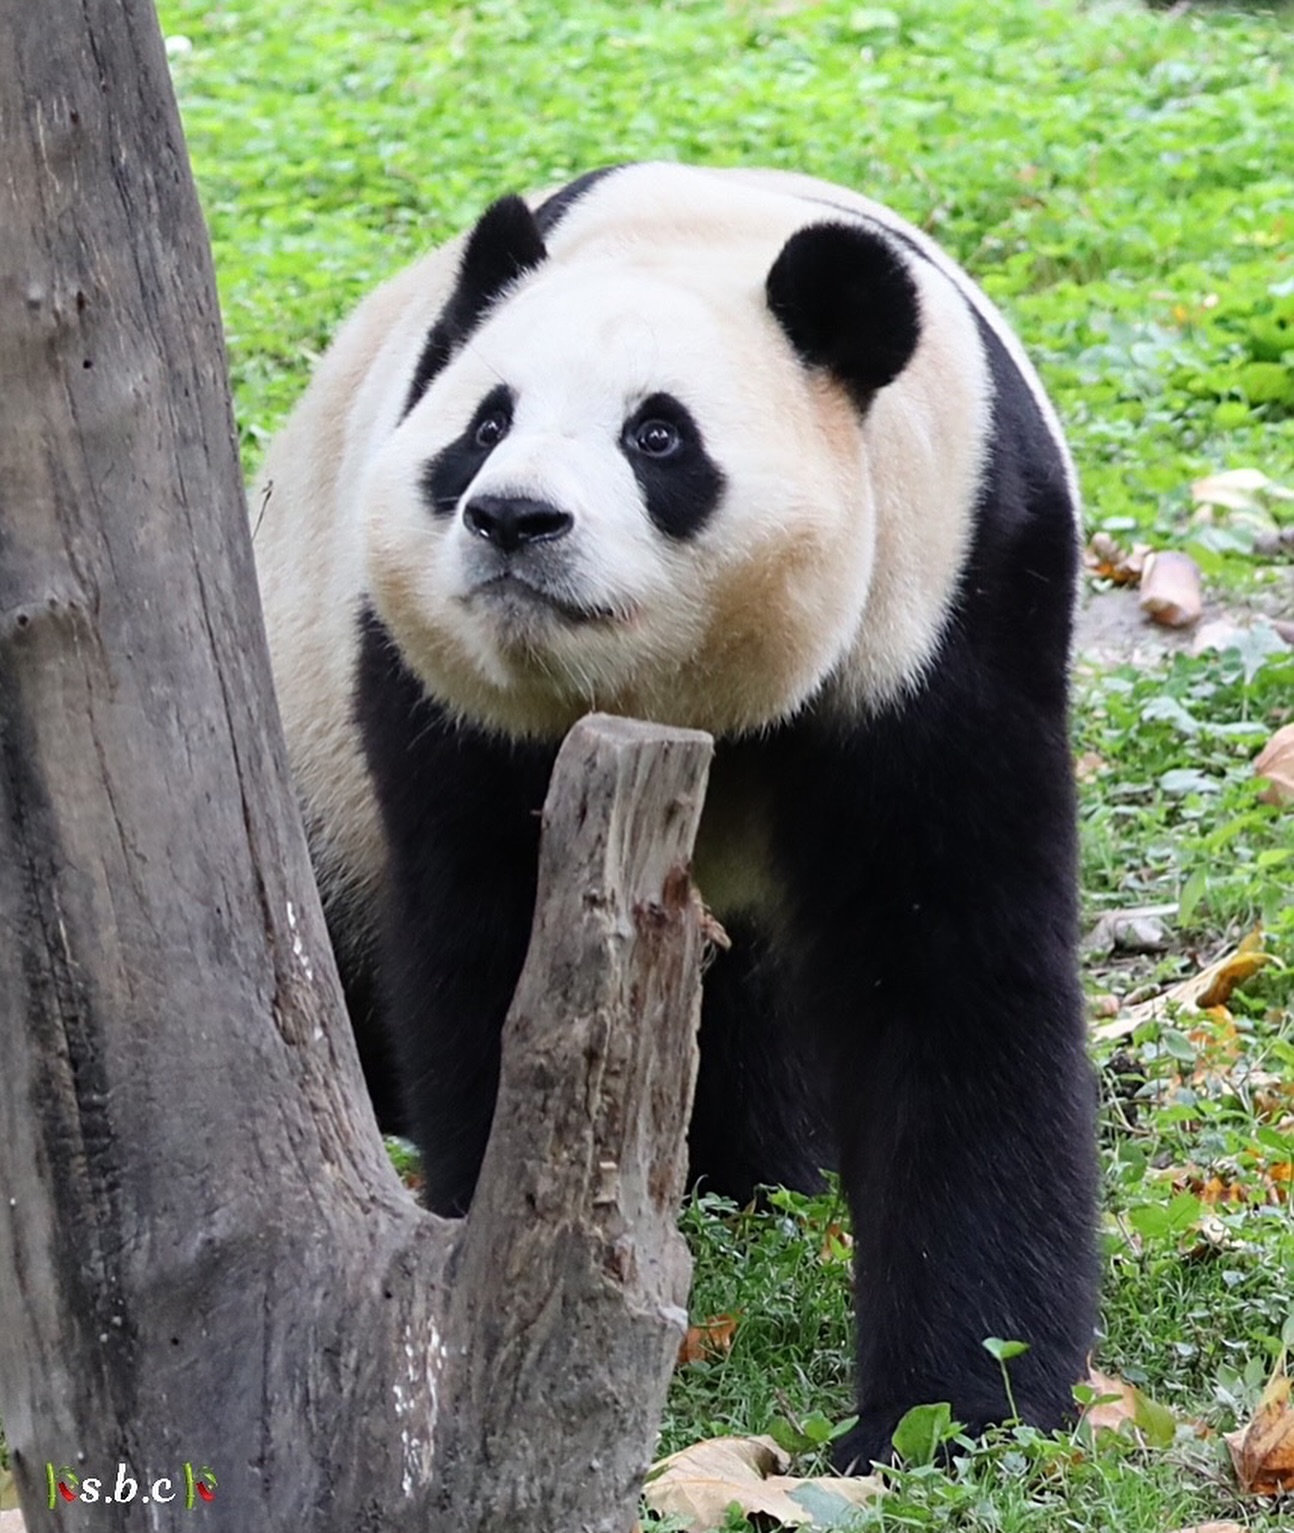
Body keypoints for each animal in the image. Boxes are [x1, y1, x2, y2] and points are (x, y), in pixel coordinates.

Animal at [254, 161, 1103, 1465]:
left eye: (656, 434)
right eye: (484, 425)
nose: (513, 519)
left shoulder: (945, 610)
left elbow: (952, 972)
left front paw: (952, 1410)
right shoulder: (433, 682)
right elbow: (488, 947)